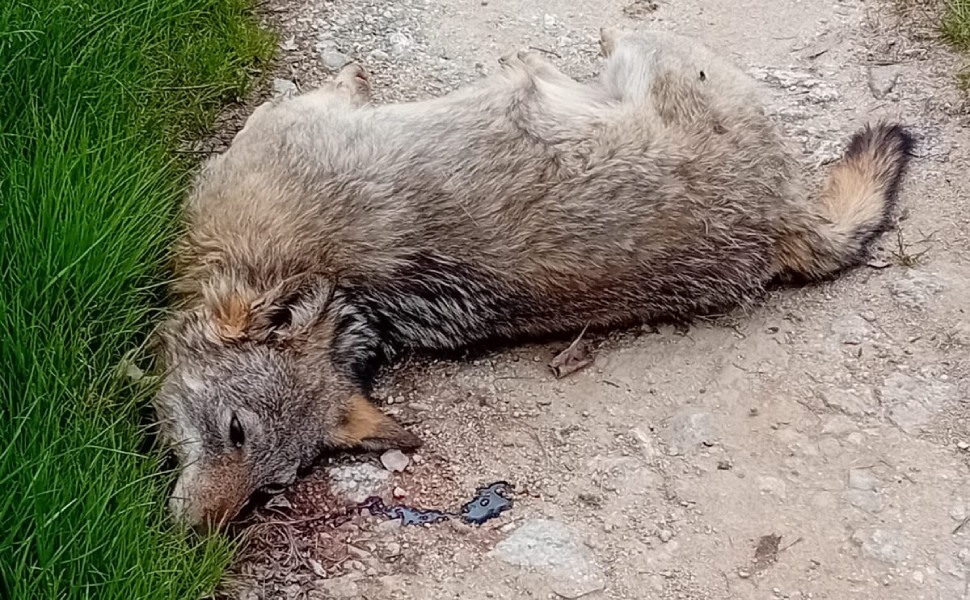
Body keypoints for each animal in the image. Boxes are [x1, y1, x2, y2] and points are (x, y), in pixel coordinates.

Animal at [153, 27, 914, 531]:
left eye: (264, 477)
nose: (193, 534)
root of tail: (787, 215)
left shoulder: (283, 123)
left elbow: (336, 90)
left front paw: (357, 80)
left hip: (652, 57)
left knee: (622, 36)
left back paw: (539, 58)